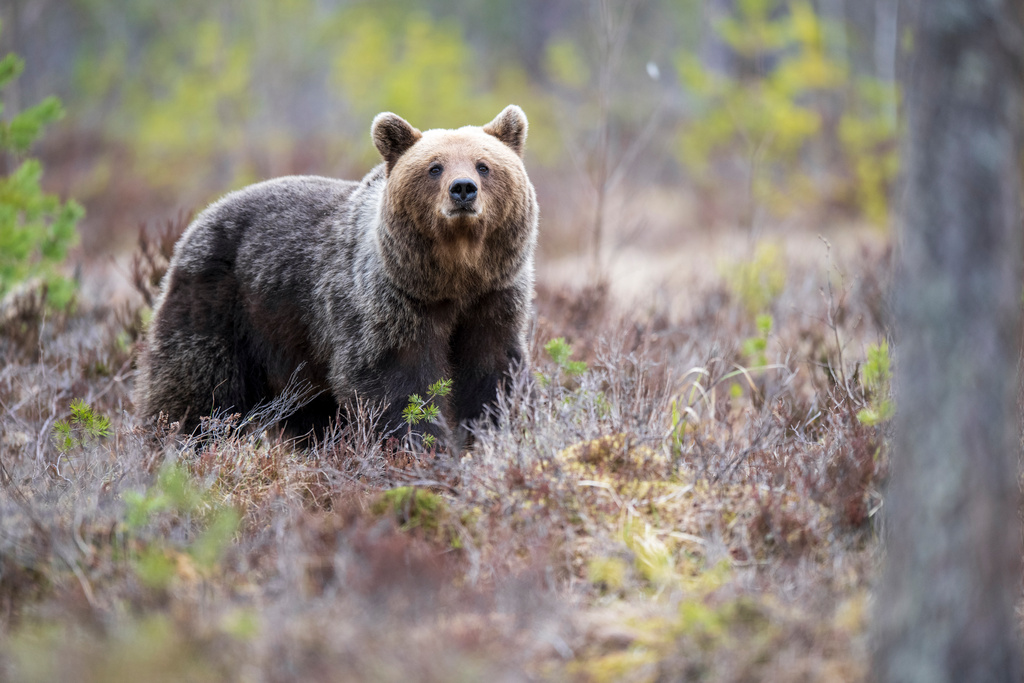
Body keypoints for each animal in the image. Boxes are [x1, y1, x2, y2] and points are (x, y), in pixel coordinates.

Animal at [136, 104, 540, 440]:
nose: (463, 189)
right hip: (221, 305)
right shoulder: (389, 306)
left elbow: (493, 376)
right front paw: (418, 443)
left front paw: (495, 431)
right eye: (434, 167)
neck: (454, 278)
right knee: (198, 389)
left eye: (483, 165)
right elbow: (396, 385)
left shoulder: (494, 299)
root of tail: (200, 219)